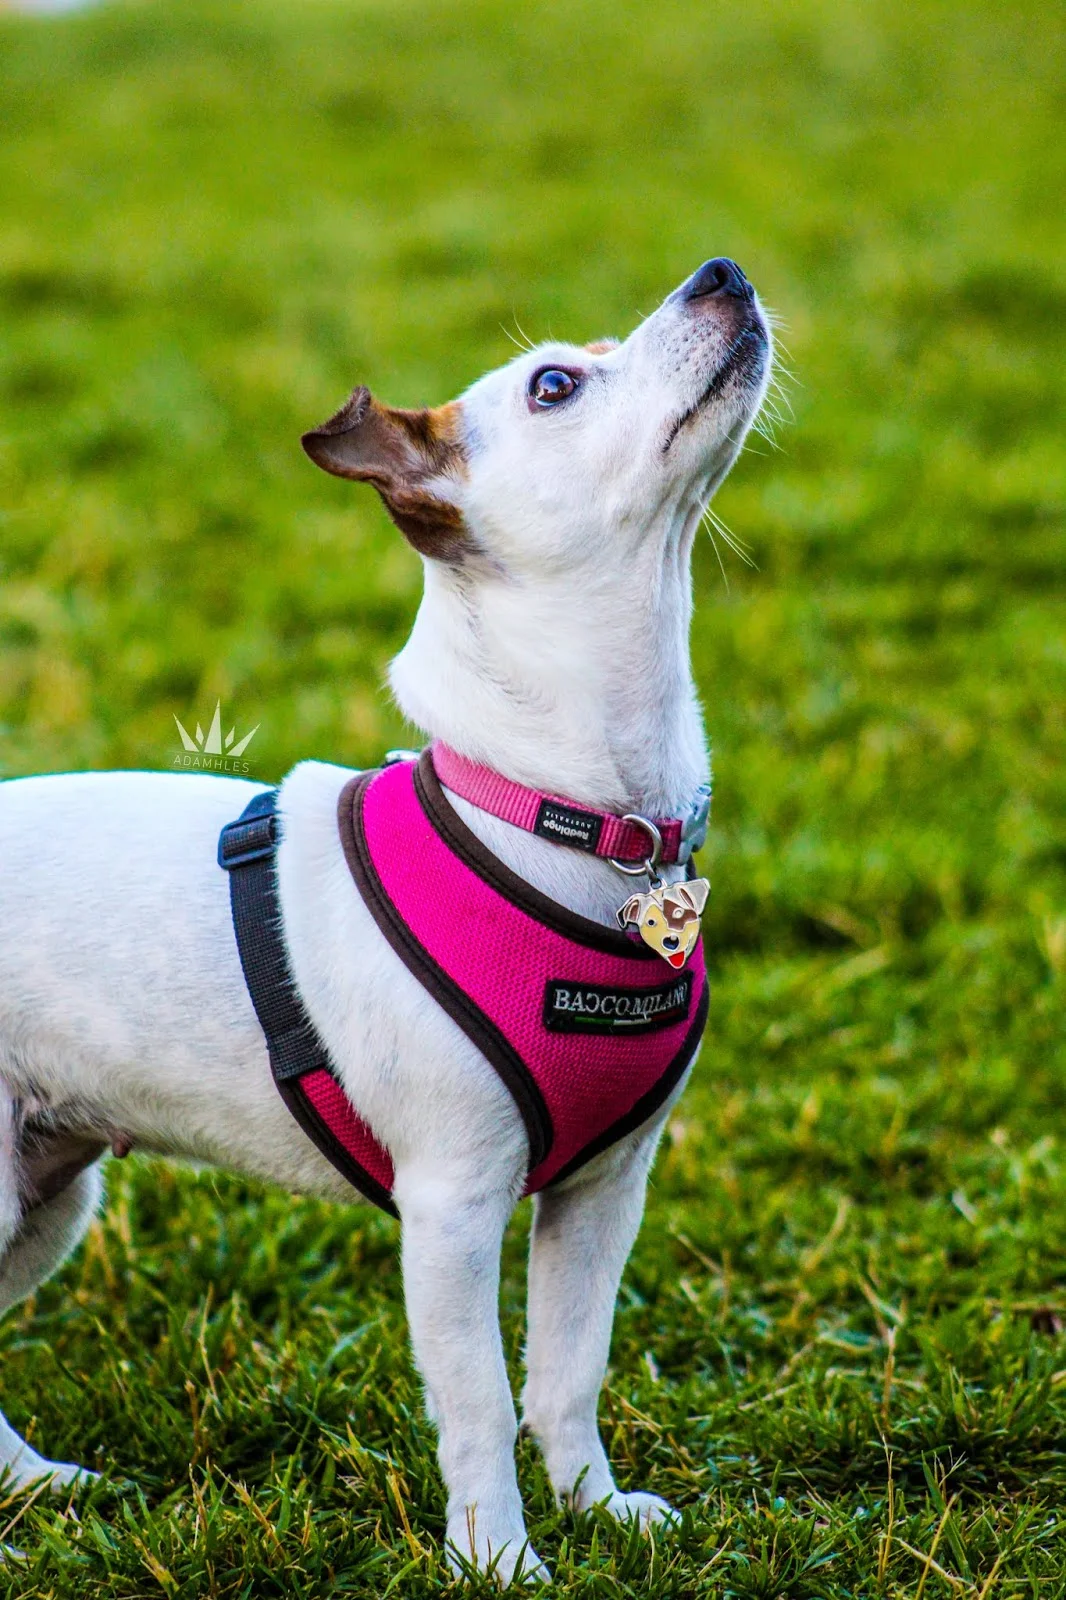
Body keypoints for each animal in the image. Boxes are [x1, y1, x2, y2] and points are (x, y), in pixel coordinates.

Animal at [0, 257, 771, 1583]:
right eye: (554, 384)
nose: (720, 271)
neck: (569, 817)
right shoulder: (450, 1211)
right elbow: (477, 1404)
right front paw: (500, 1560)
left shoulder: (604, 1191)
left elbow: (567, 1369)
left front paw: (594, 1506)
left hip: (45, 1199)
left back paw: (38, 1483)